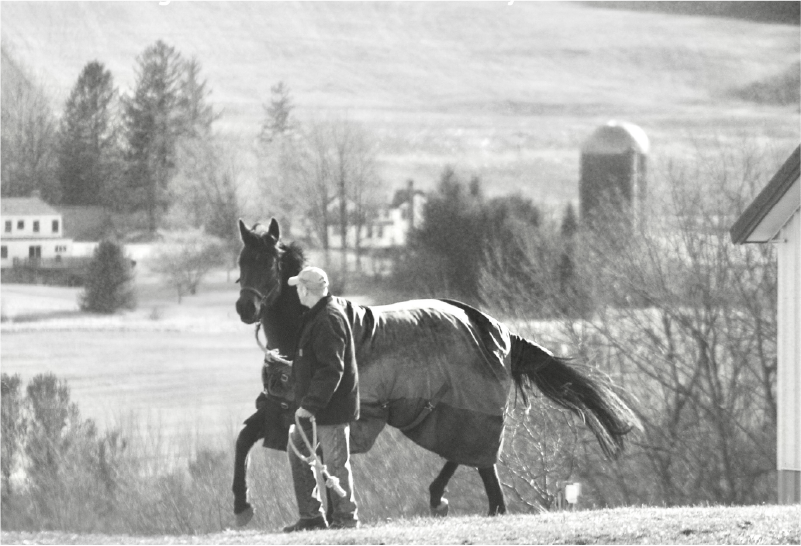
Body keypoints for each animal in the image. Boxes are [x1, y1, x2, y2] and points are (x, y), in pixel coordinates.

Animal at [232, 218, 641, 519]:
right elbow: (246, 439)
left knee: (476, 455)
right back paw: (456, 499)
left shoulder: (307, 413)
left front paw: (326, 513)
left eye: (268, 263)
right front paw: (243, 504)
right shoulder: (282, 410)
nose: (245, 308)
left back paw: (447, 498)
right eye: (241, 261)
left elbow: (320, 457)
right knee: (474, 459)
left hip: (464, 408)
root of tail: (499, 331)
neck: (307, 323)